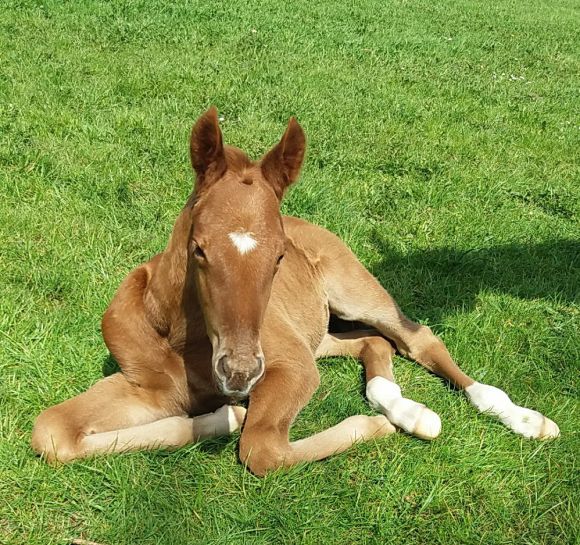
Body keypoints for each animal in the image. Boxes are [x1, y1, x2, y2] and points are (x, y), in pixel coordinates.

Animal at [30, 108, 556, 474]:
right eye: (198, 248)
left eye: (280, 256)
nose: (240, 374)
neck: (179, 336)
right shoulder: (148, 388)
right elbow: (51, 431)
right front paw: (222, 417)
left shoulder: (290, 365)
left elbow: (262, 448)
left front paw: (371, 427)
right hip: (314, 333)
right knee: (372, 342)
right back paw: (408, 410)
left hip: (354, 290)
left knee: (415, 338)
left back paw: (522, 419)